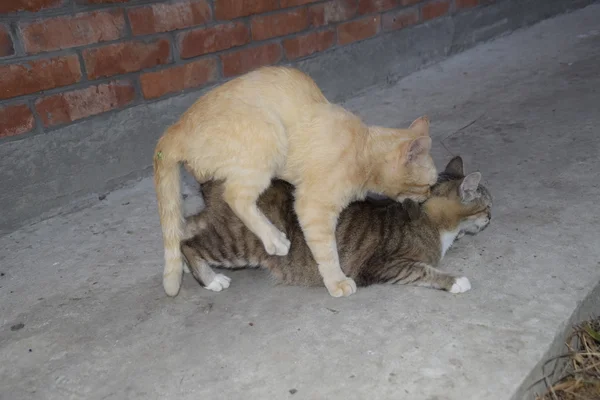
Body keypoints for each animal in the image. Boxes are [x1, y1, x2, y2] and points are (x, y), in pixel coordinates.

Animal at [155, 65, 436, 296]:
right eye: (430, 185)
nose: (428, 197)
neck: (363, 147)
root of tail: (174, 130)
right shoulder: (312, 206)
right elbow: (327, 251)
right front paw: (336, 282)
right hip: (268, 135)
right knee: (235, 196)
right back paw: (273, 240)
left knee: (185, 228)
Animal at [180, 156, 490, 294]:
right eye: (487, 205)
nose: (491, 217)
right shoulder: (386, 265)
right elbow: (423, 271)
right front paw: (454, 280)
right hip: (241, 242)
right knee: (190, 243)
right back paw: (210, 279)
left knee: (187, 225)